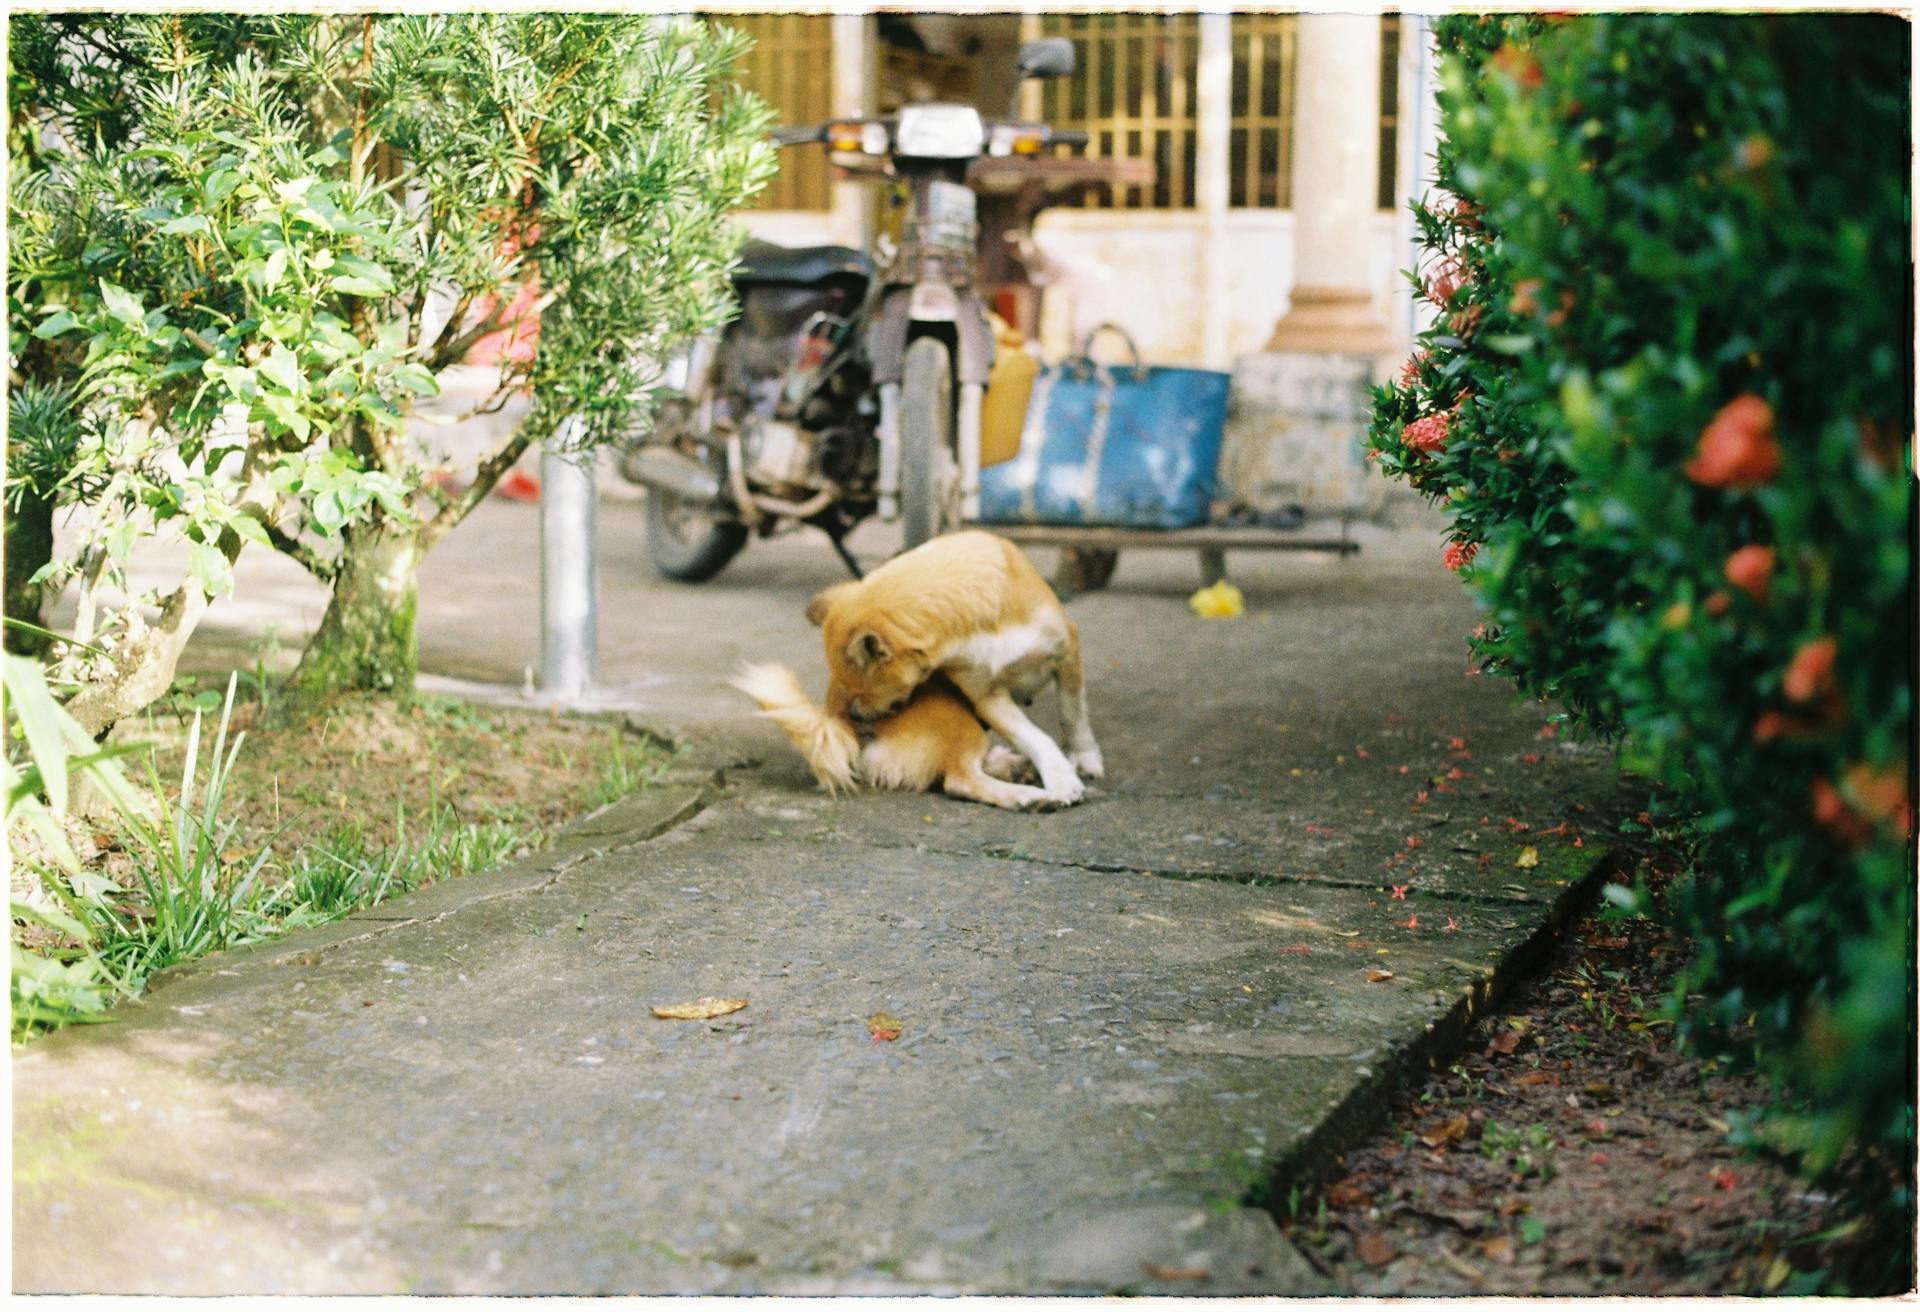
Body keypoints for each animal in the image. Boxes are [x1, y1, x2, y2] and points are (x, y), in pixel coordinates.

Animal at [798, 530, 1098, 806]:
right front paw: (1060, 778)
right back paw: (1027, 796)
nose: (855, 715)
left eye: (861, 692)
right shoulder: (987, 698)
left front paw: (1084, 759)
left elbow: (1073, 716)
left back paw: (1013, 770)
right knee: (959, 779)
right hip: (959, 721)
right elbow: (1036, 738)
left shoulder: (1066, 654)